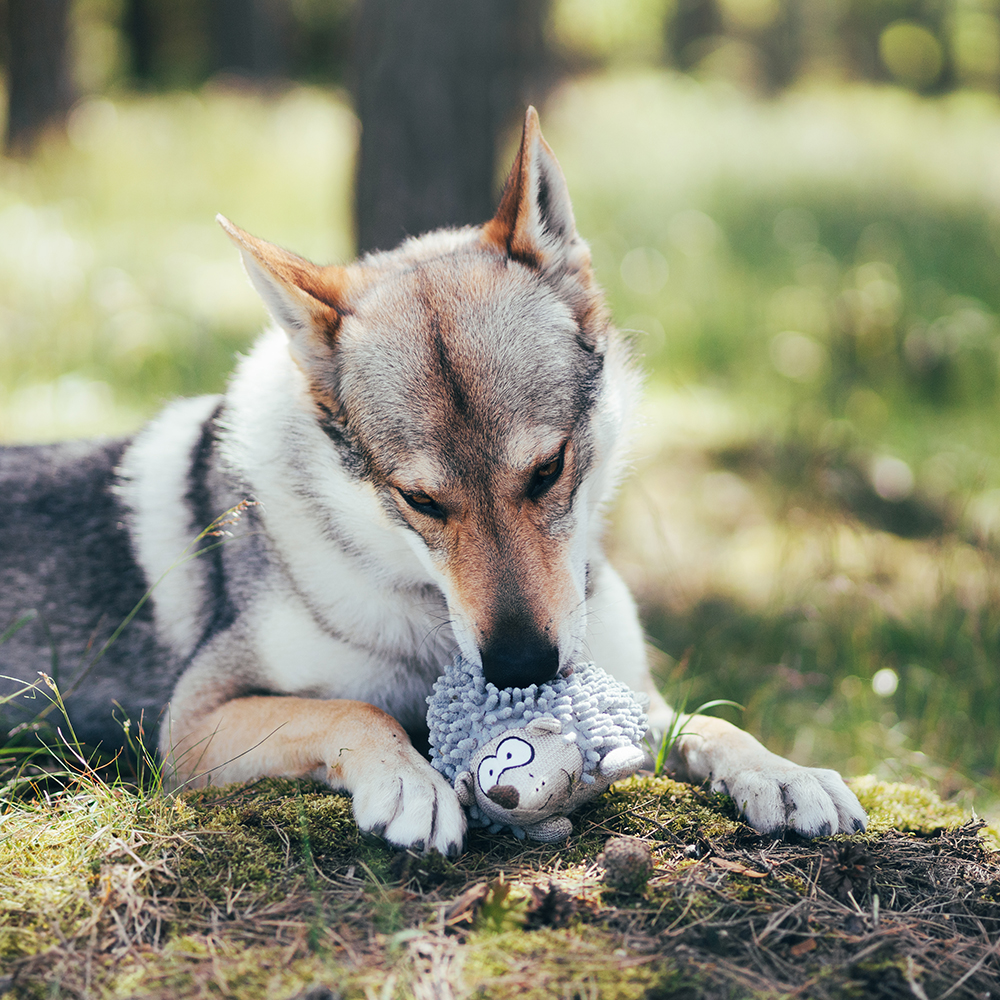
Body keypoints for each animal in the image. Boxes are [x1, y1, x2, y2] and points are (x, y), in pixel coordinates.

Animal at [0, 109, 864, 856]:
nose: (520, 670)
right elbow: (353, 711)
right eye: (420, 502)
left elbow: (712, 725)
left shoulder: (638, 702)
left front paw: (785, 774)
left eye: (547, 470)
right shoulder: (192, 723)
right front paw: (410, 784)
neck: (424, 616)